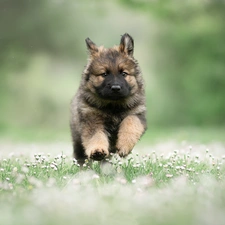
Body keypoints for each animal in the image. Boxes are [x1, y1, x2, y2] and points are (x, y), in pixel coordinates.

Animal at [71, 33, 147, 163]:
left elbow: (130, 124)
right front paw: (97, 151)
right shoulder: (92, 119)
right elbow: (95, 136)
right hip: (77, 141)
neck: (113, 106)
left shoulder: (136, 114)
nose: (115, 88)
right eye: (104, 74)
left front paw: (124, 145)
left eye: (124, 73)